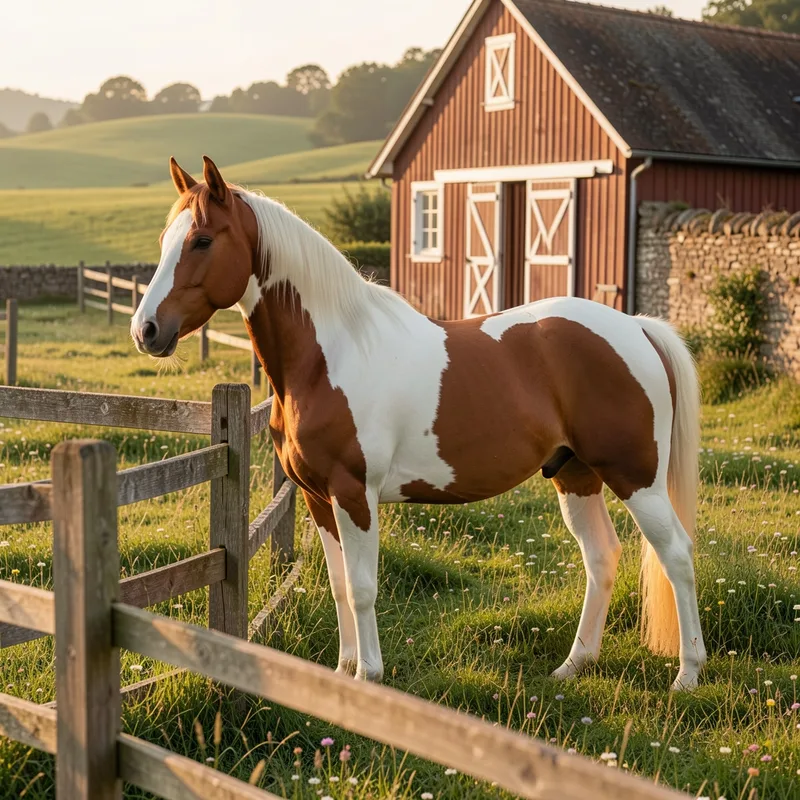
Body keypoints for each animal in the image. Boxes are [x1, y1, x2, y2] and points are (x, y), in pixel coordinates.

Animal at [130, 156, 707, 690]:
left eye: (203, 240)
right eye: (164, 239)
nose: (146, 330)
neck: (329, 354)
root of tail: (636, 326)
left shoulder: (353, 494)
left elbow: (363, 588)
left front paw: (369, 676)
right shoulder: (318, 499)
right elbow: (339, 585)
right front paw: (341, 674)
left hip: (636, 478)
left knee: (677, 555)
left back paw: (687, 674)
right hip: (576, 474)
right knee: (601, 557)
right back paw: (574, 665)